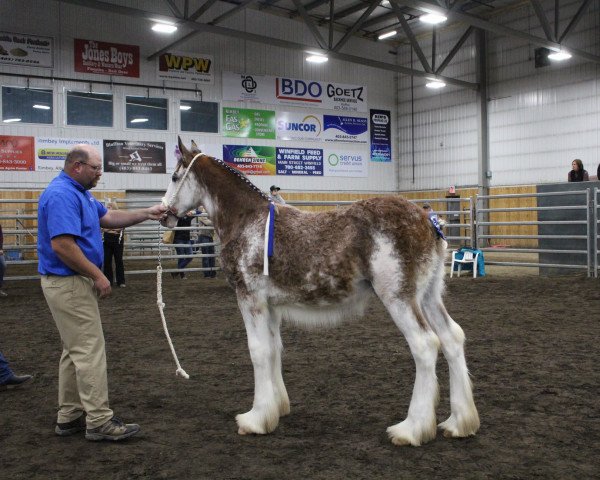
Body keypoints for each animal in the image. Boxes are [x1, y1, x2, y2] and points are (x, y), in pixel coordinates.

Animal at [161, 137, 478, 444]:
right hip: (428, 296)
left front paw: (255, 419)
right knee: (452, 338)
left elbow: (258, 351)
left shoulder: (250, 298)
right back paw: (458, 423)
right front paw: (276, 408)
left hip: (399, 298)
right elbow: (274, 348)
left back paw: (411, 429)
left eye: (175, 177)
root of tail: (427, 220)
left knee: (425, 345)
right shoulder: (270, 305)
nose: (164, 214)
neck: (247, 219)